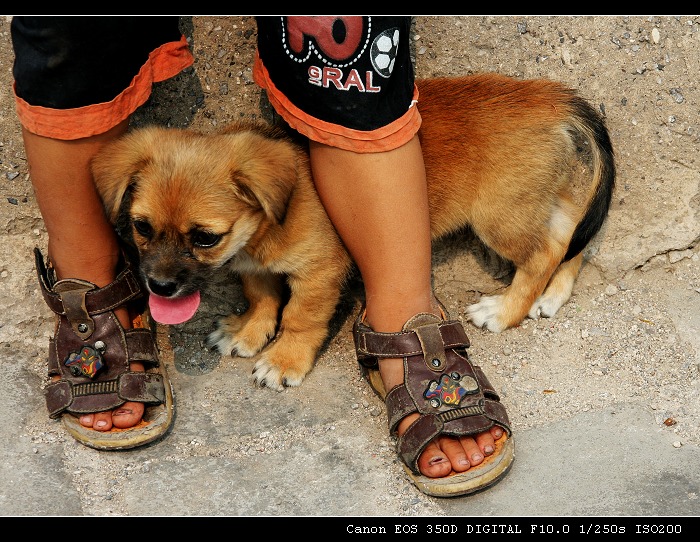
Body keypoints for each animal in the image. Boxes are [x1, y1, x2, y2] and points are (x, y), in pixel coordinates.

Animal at [91, 74, 612, 394]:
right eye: (140, 227)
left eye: (203, 237)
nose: (158, 287)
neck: (263, 228)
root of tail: (552, 98)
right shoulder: (254, 267)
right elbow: (262, 298)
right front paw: (249, 332)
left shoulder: (319, 273)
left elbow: (299, 317)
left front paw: (284, 360)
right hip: (533, 203)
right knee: (571, 236)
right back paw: (552, 297)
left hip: (498, 217)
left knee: (544, 252)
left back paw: (505, 311)